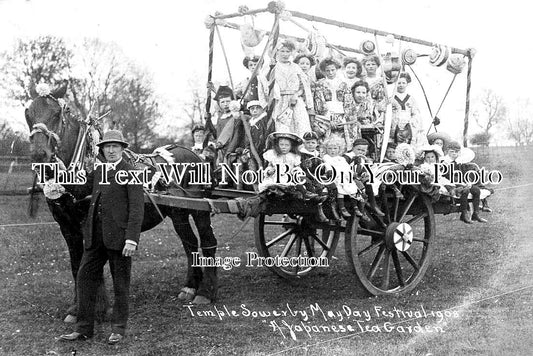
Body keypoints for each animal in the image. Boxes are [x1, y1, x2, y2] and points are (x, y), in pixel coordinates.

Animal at [26, 82, 217, 322]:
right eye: (28, 114)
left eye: (57, 113)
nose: (39, 154)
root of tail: (194, 154)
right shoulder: (67, 228)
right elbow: (76, 265)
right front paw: (76, 309)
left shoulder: (89, 225)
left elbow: (89, 266)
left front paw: (97, 308)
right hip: (178, 213)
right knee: (189, 242)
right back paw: (190, 286)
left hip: (200, 210)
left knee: (208, 242)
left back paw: (205, 292)